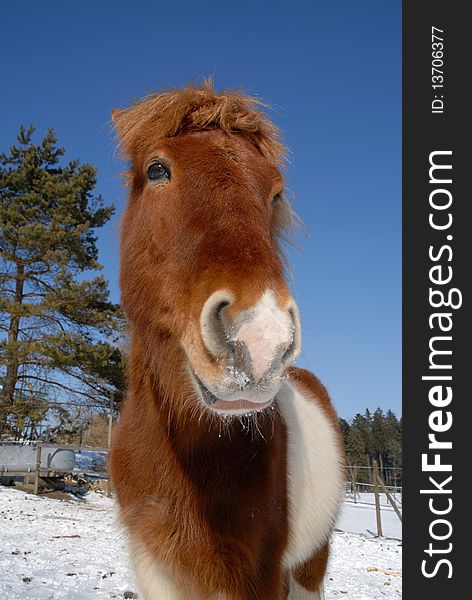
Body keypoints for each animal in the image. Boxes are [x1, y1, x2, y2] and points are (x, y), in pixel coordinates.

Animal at [110, 81, 346, 600]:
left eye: (276, 193)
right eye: (157, 170)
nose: (261, 338)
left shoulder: (257, 577)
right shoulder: (154, 566)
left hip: (309, 565)